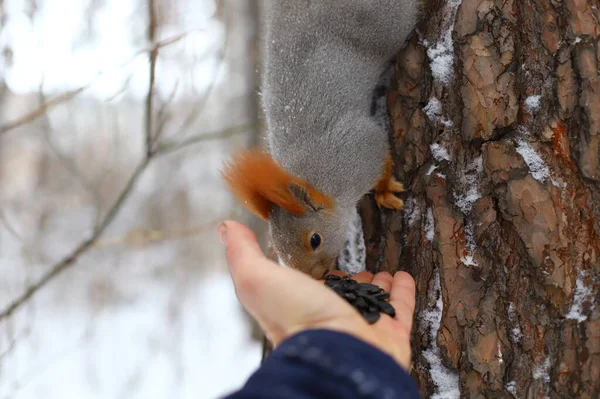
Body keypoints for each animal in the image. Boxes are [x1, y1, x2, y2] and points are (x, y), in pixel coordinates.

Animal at [221, 0, 422, 278]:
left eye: (315, 240)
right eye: (280, 252)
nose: (316, 279)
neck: (321, 180)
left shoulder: (359, 147)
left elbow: (380, 157)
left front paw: (383, 191)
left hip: (387, 23)